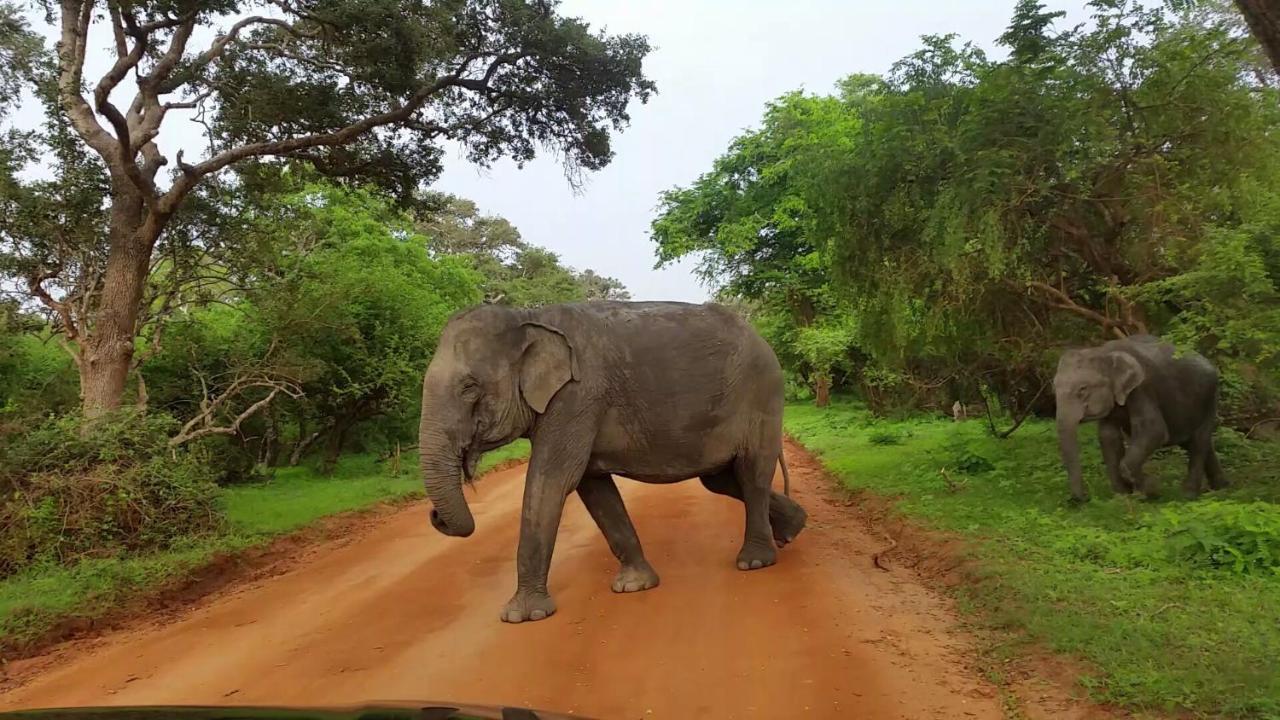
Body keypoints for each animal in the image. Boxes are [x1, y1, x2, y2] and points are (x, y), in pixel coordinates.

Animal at [417, 299, 808, 620]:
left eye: (469, 388)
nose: (436, 516)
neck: (528, 316)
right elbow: (593, 488)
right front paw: (635, 586)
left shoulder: (576, 397)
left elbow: (552, 481)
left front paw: (522, 616)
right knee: (722, 479)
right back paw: (792, 529)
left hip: (762, 396)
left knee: (751, 473)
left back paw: (755, 561)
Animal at [1054, 333, 1223, 502]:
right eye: (1053, 389)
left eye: (1083, 389)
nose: (1083, 498)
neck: (1103, 351)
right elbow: (1108, 437)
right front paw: (1123, 496)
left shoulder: (1142, 389)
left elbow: (1154, 431)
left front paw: (1151, 490)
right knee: (1194, 443)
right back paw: (1221, 487)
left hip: (1210, 399)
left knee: (1198, 442)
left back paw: (1189, 495)